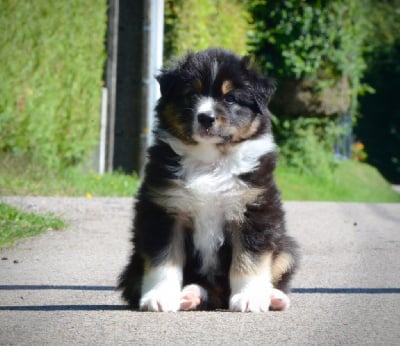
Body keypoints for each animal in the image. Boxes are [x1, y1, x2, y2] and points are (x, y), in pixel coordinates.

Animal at [117, 48, 298, 310]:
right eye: (192, 94)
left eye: (230, 98)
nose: (206, 117)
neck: (210, 160)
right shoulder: (165, 210)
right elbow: (163, 261)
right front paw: (159, 297)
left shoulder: (253, 210)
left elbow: (249, 261)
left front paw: (250, 298)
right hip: (132, 266)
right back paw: (189, 296)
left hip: (287, 248)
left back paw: (274, 297)